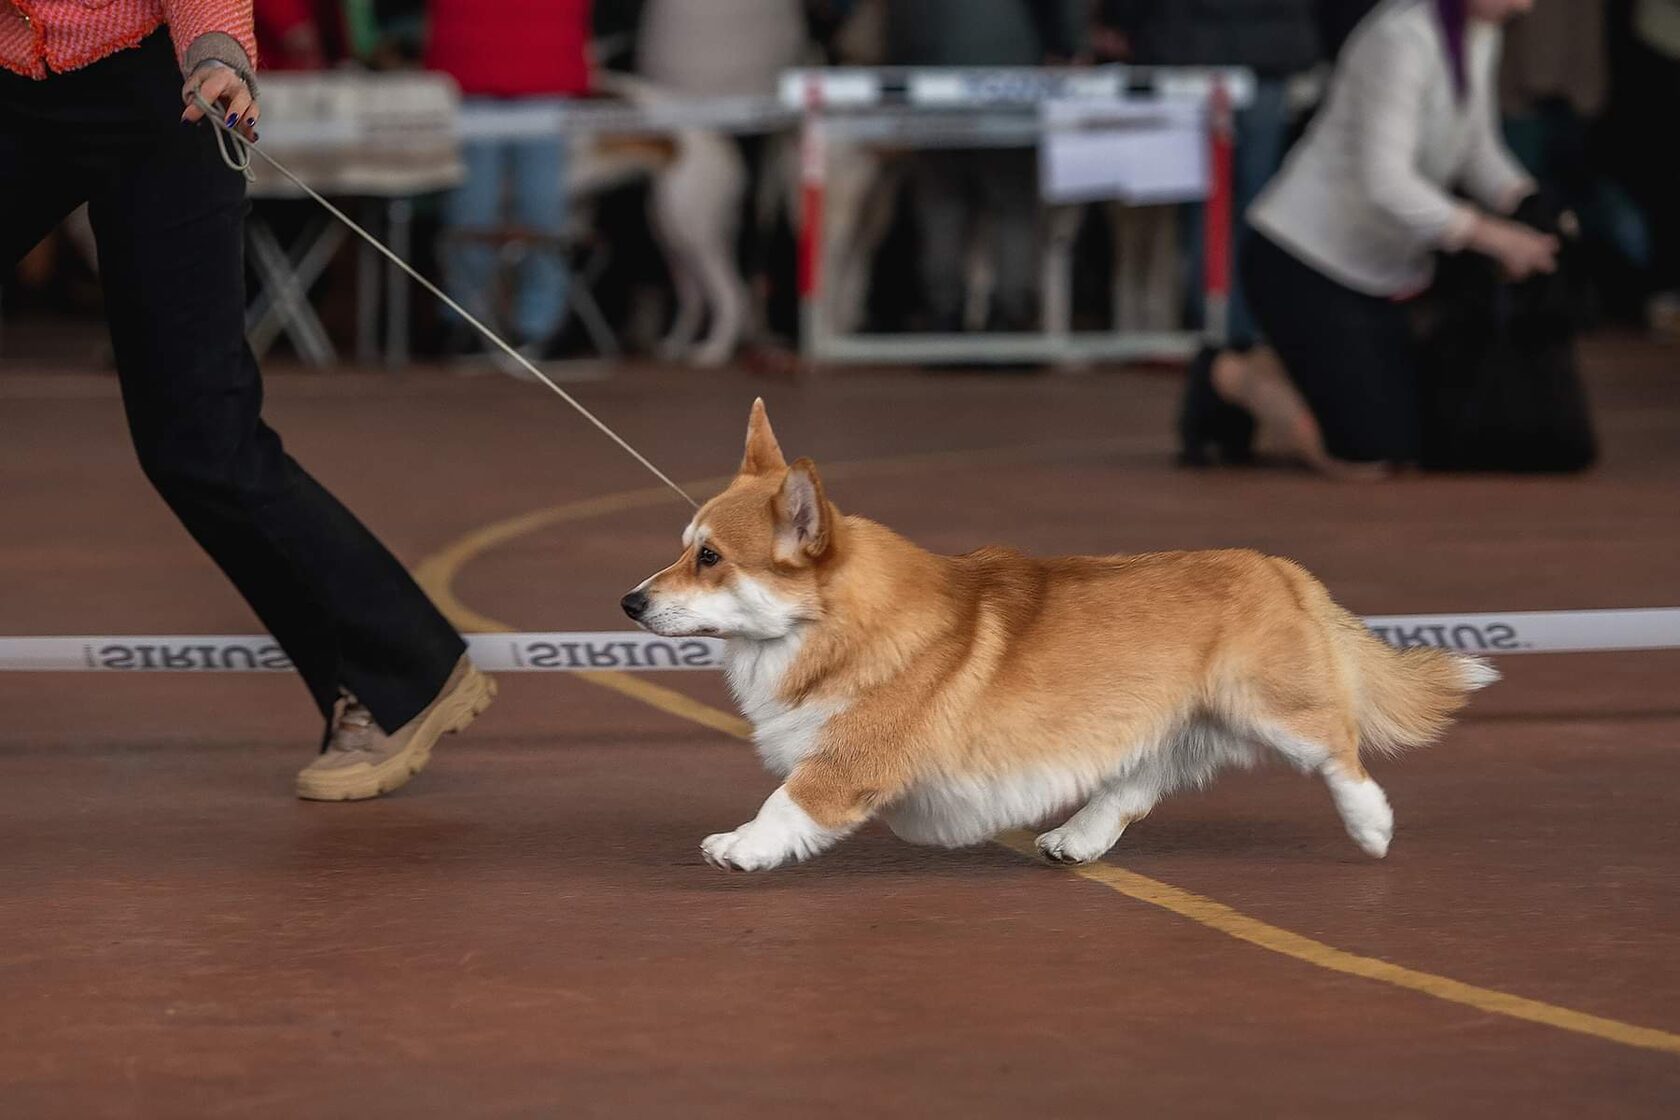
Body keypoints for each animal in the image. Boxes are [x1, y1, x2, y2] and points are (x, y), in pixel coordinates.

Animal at [621, 397, 1498, 873]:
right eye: (683, 546)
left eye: (709, 558)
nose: (629, 603)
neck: (831, 626)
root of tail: (1283, 570)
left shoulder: (847, 762)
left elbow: (787, 803)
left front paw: (740, 846)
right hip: (1172, 721)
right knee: (1137, 785)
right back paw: (1075, 838)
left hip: (1271, 707)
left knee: (1339, 751)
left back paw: (1373, 827)